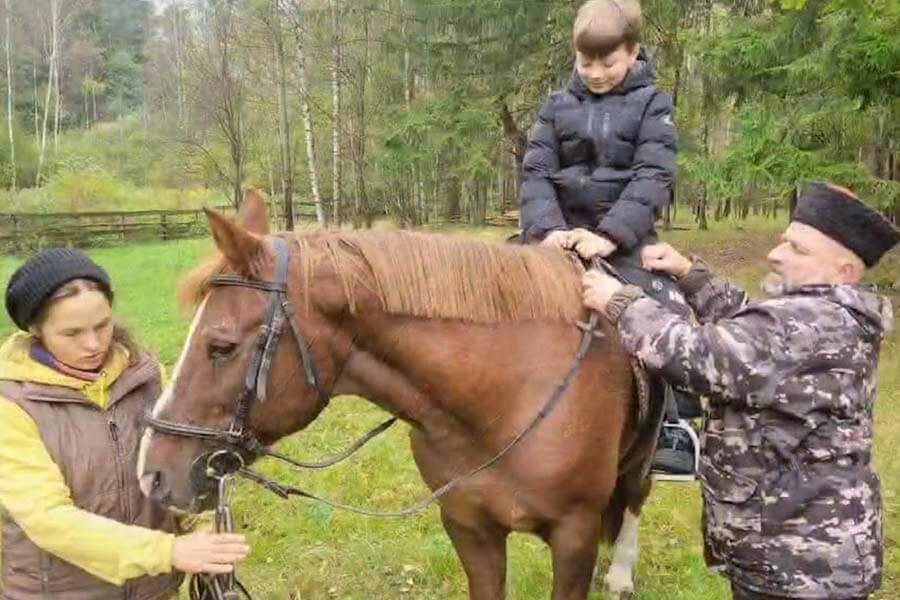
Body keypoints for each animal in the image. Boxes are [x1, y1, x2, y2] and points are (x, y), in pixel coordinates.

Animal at [137, 190, 663, 600]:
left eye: (220, 347)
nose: (151, 475)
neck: (504, 399)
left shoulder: (574, 535)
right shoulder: (468, 527)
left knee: (636, 495)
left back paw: (620, 573)